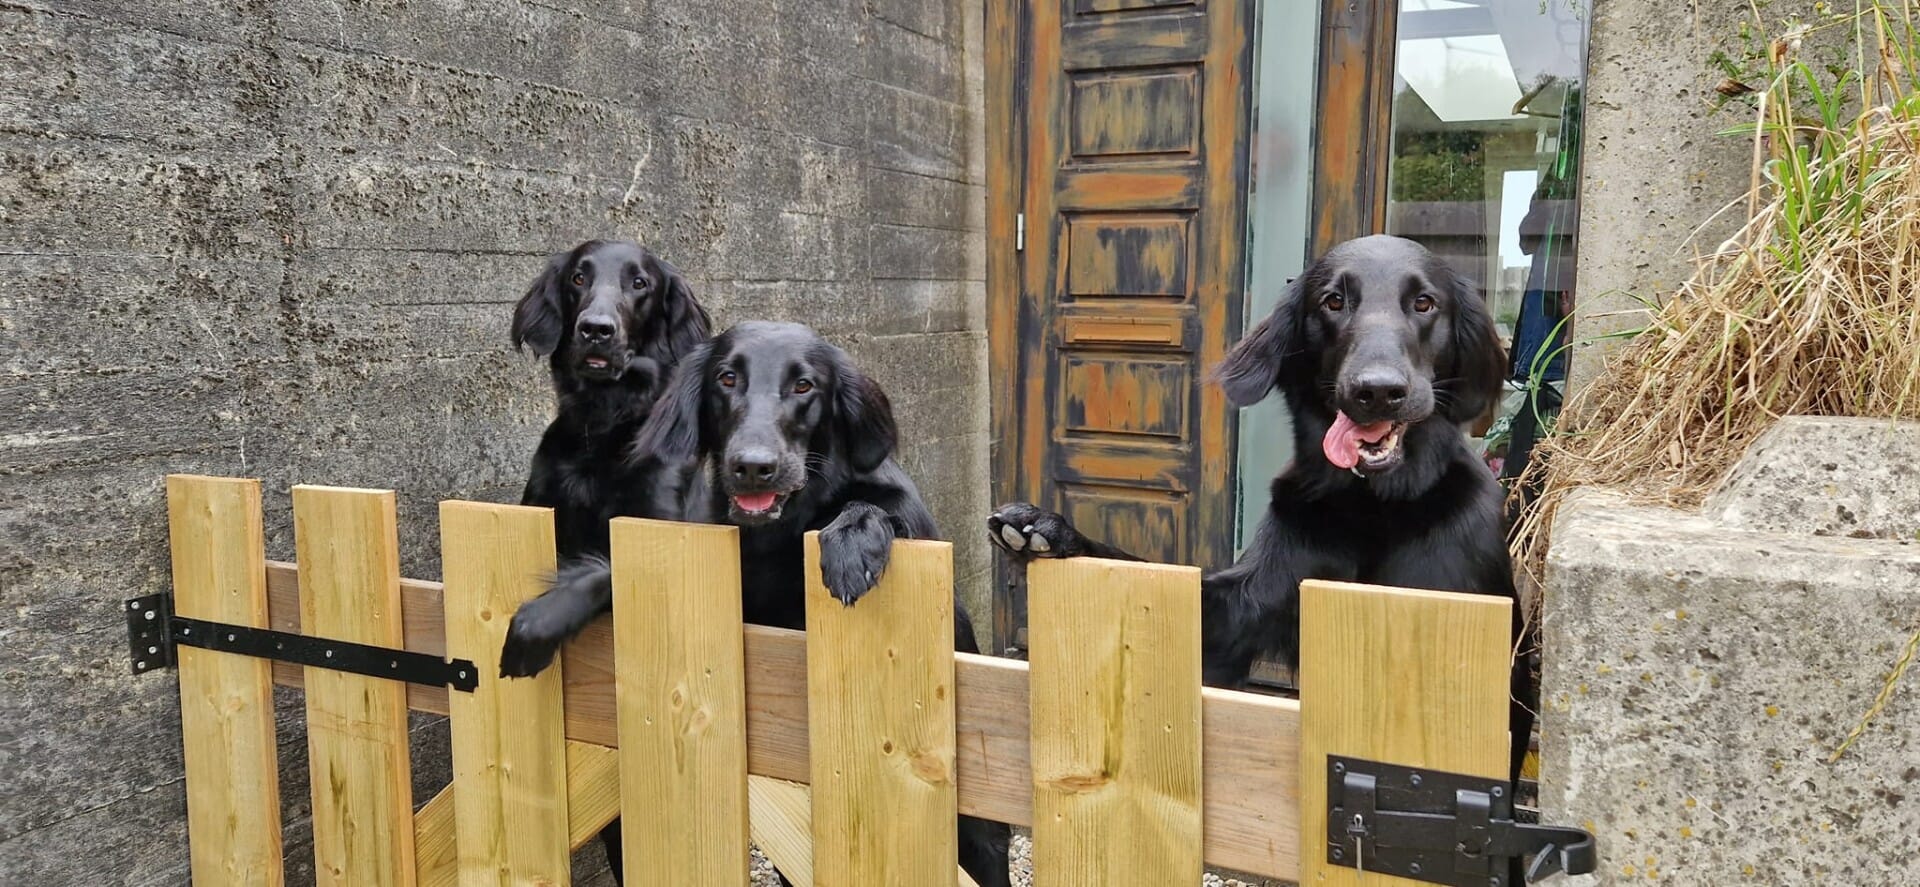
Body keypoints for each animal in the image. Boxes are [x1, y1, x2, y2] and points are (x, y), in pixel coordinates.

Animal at [503, 235, 714, 671]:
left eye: (639, 283)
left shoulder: (661, 533)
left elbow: (607, 571)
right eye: (578, 278)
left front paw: (533, 626)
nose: (596, 329)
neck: (604, 424)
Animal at [549, 320, 1013, 887]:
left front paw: (850, 541)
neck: (776, 534)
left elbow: (876, 505)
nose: (754, 467)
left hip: (977, 835)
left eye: (804, 385)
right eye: (726, 379)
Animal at [990, 235, 1528, 783]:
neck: (1373, 507)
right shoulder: (1245, 604)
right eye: (1333, 302)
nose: (1377, 391)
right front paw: (1048, 530)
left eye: (1424, 303)